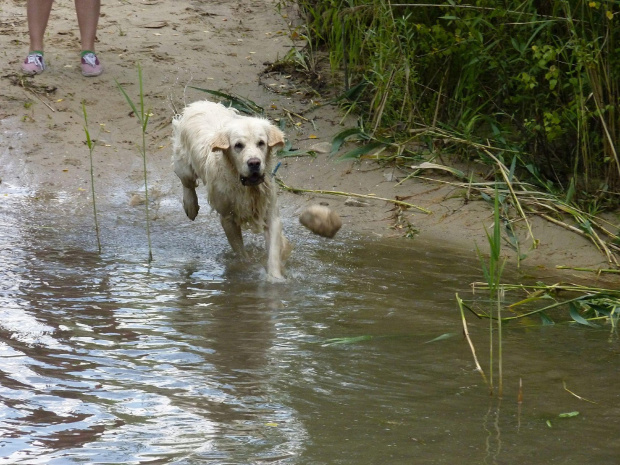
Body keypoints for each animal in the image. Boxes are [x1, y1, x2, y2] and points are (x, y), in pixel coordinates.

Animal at [171, 100, 292, 280]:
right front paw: (245, 268)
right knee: (187, 183)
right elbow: (240, 251)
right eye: (238, 145)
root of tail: (199, 103)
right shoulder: (227, 218)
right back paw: (190, 206)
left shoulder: (270, 213)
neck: (245, 185)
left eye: (261, 143)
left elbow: (274, 252)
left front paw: (275, 278)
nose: (254, 163)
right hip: (183, 163)